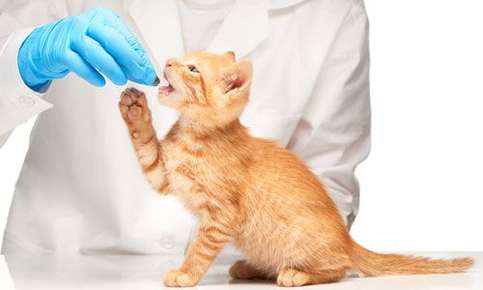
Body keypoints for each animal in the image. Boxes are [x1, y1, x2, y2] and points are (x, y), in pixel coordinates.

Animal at [119, 51, 474, 286]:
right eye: (181, 57)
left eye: (192, 68)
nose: (167, 62)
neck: (195, 134)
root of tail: (347, 240)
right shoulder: (164, 175)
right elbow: (147, 149)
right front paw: (134, 109)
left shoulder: (222, 214)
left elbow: (201, 248)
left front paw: (185, 273)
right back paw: (250, 268)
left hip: (304, 242)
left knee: (340, 267)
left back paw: (296, 274)